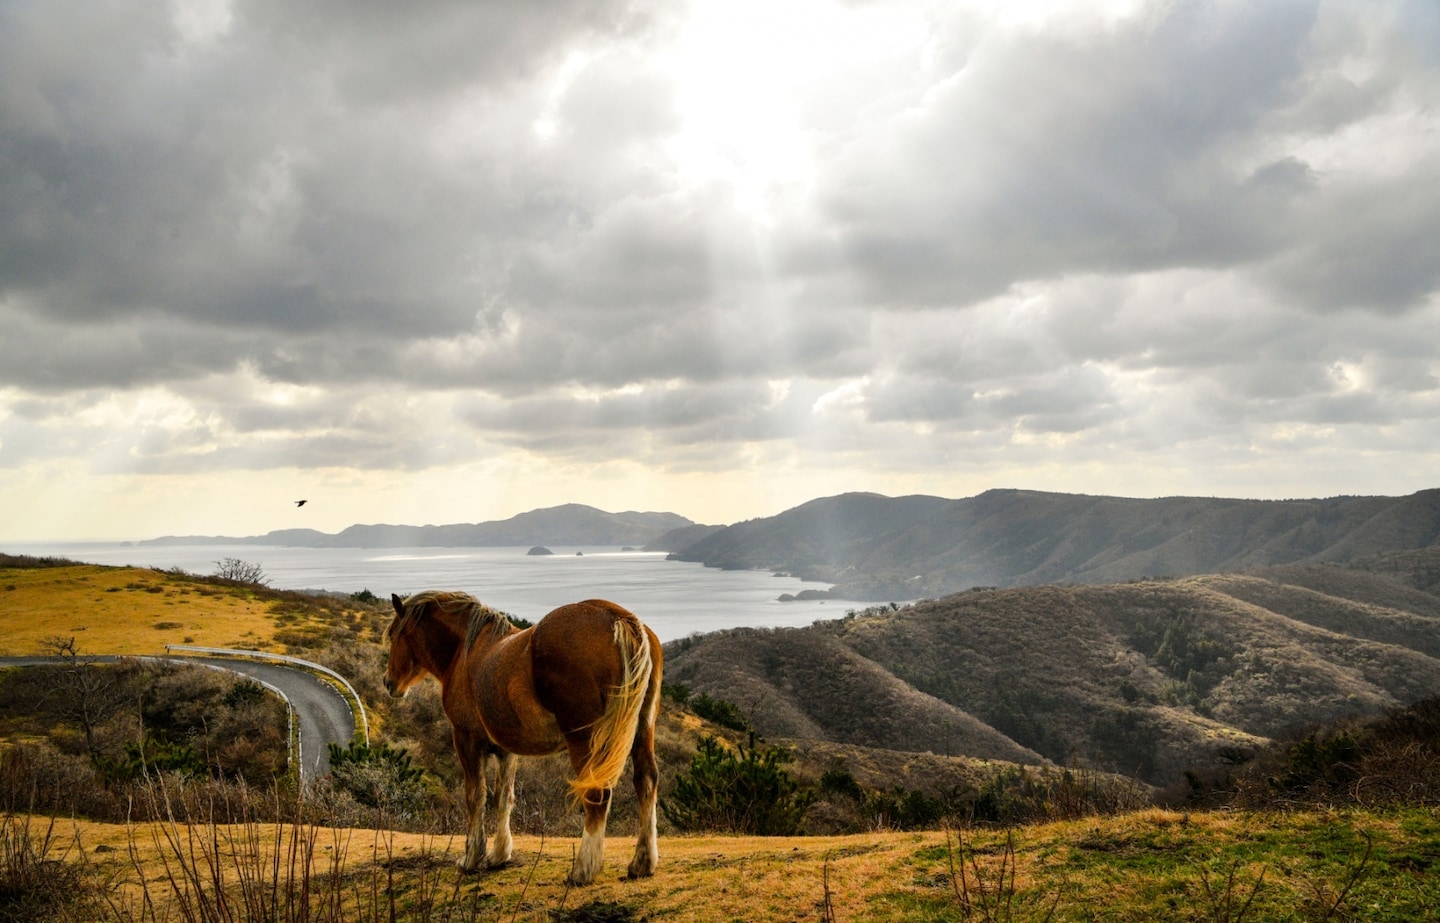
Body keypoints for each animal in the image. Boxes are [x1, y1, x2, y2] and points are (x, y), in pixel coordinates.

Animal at [383, 590, 662, 887]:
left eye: (394, 635)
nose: (389, 682)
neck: (464, 652)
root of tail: (619, 618)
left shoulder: (467, 740)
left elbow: (475, 796)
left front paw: (471, 858)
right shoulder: (506, 750)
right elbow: (504, 797)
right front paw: (498, 855)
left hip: (584, 739)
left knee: (596, 793)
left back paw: (582, 871)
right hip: (642, 730)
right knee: (645, 781)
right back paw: (642, 864)